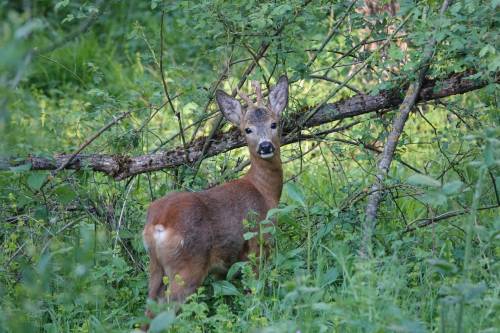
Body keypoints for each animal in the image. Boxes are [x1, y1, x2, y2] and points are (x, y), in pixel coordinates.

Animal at [143, 74, 288, 312]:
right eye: (247, 129)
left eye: (274, 124)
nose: (265, 146)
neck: (264, 192)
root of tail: (159, 223)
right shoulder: (258, 242)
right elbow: (253, 290)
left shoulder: (225, 266)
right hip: (188, 266)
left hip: (155, 267)